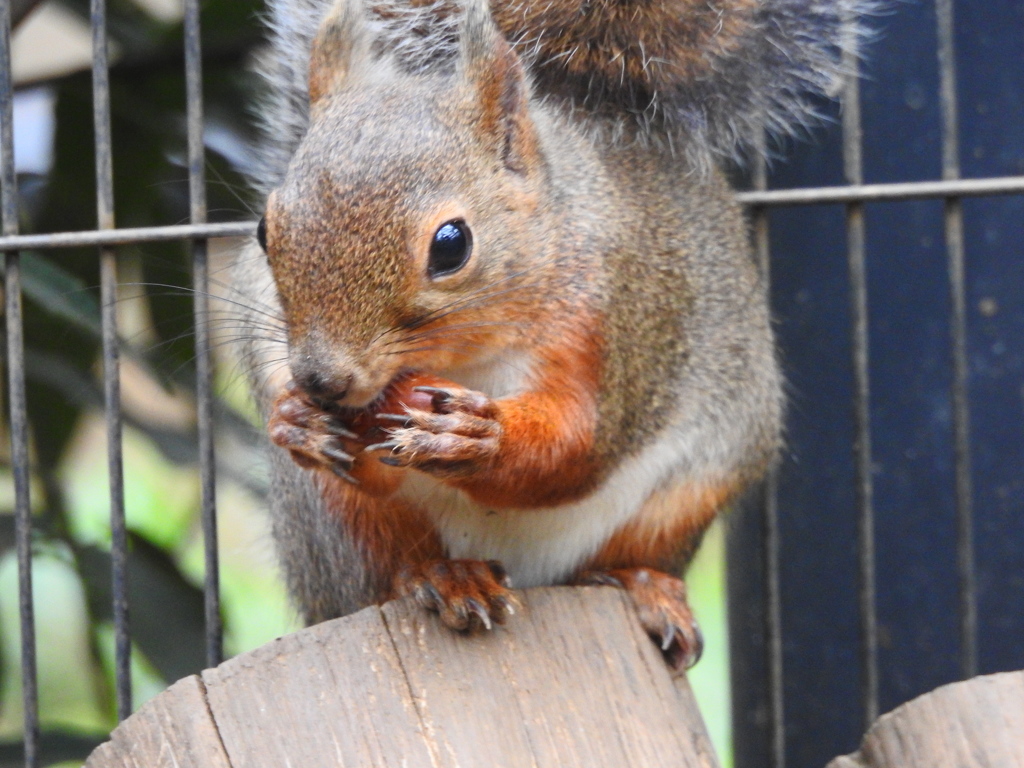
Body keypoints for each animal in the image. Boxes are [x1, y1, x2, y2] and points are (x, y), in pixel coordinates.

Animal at [234, 0, 872, 667]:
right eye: (263, 229)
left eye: (451, 244)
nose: (322, 380)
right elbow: (367, 466)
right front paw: (296, 421)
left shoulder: (616, 323)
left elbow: (579, 446)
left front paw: (479, 439)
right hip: (336, 527)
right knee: (388, 563)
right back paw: (444, 576)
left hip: (689, 493)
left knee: (626, 553)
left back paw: (645, 586)